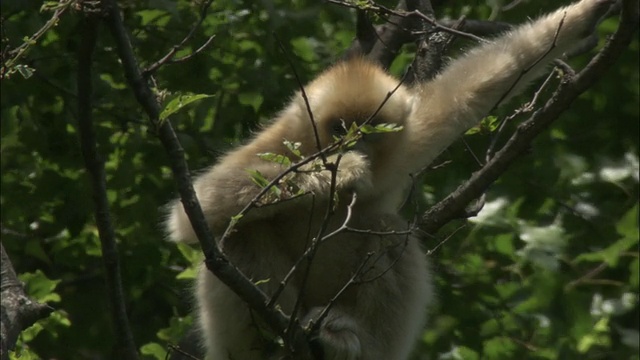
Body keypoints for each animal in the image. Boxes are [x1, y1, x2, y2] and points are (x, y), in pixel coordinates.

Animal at [164, 1, 608, 358]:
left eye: (370, 130)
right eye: (340, 128)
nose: (352, 144)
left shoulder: (406, 140)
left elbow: (490, 75)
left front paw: (588, 13)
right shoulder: (277, 144)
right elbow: (193, 213)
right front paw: (341, 170)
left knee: (386, 229)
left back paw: (349, 342)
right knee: (242, 230)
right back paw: (273, 342)